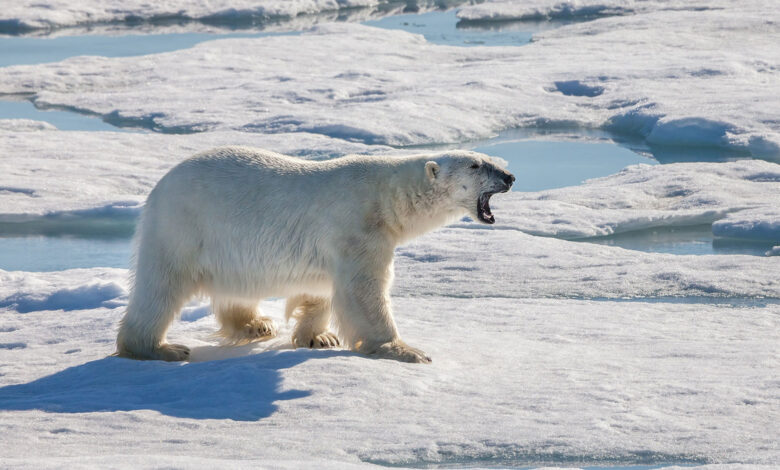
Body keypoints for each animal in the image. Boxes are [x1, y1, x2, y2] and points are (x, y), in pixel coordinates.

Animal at [116, 146, 514, 363]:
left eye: (489, 159)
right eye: (476, 165)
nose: (510, 176)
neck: (387, 198)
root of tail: (159, 187)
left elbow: (321, 287)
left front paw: (318, 337)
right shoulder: (358, 227)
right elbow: (363, 291)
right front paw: (404, 350)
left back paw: (255, 324)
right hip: (184, 227)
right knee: (160, 288)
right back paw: (160, 348)